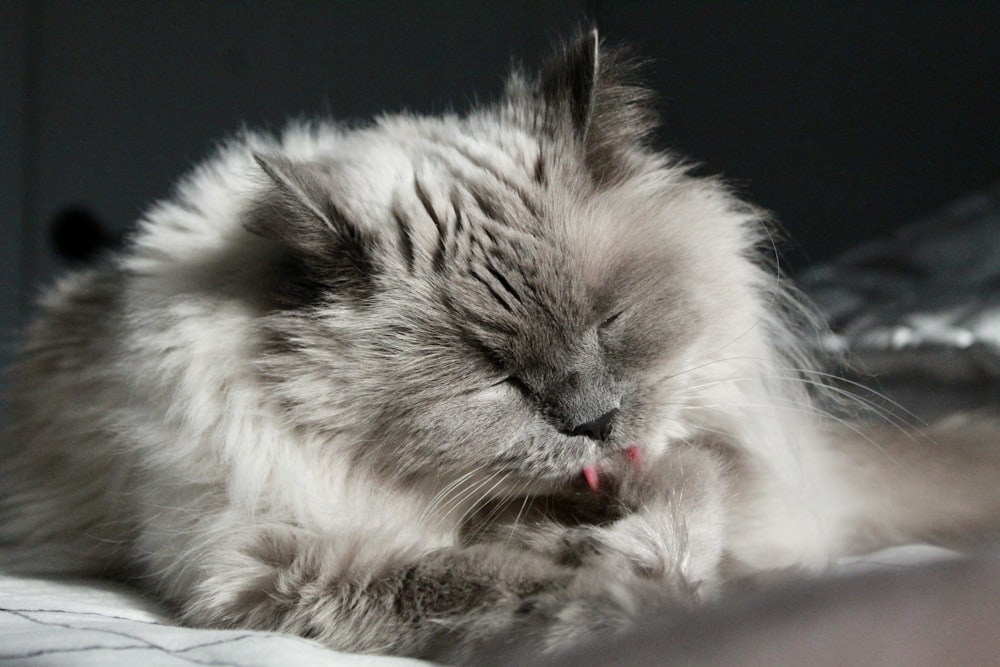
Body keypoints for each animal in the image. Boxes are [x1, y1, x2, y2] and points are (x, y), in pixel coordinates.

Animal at [1, 28, 1000, 664]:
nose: (594, 421)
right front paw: (634, 592)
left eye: (609, 324)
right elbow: (489, 583)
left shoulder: (709, 445)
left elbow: (694, 480)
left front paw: (653, 554)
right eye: (496, 377)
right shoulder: (280, 557)